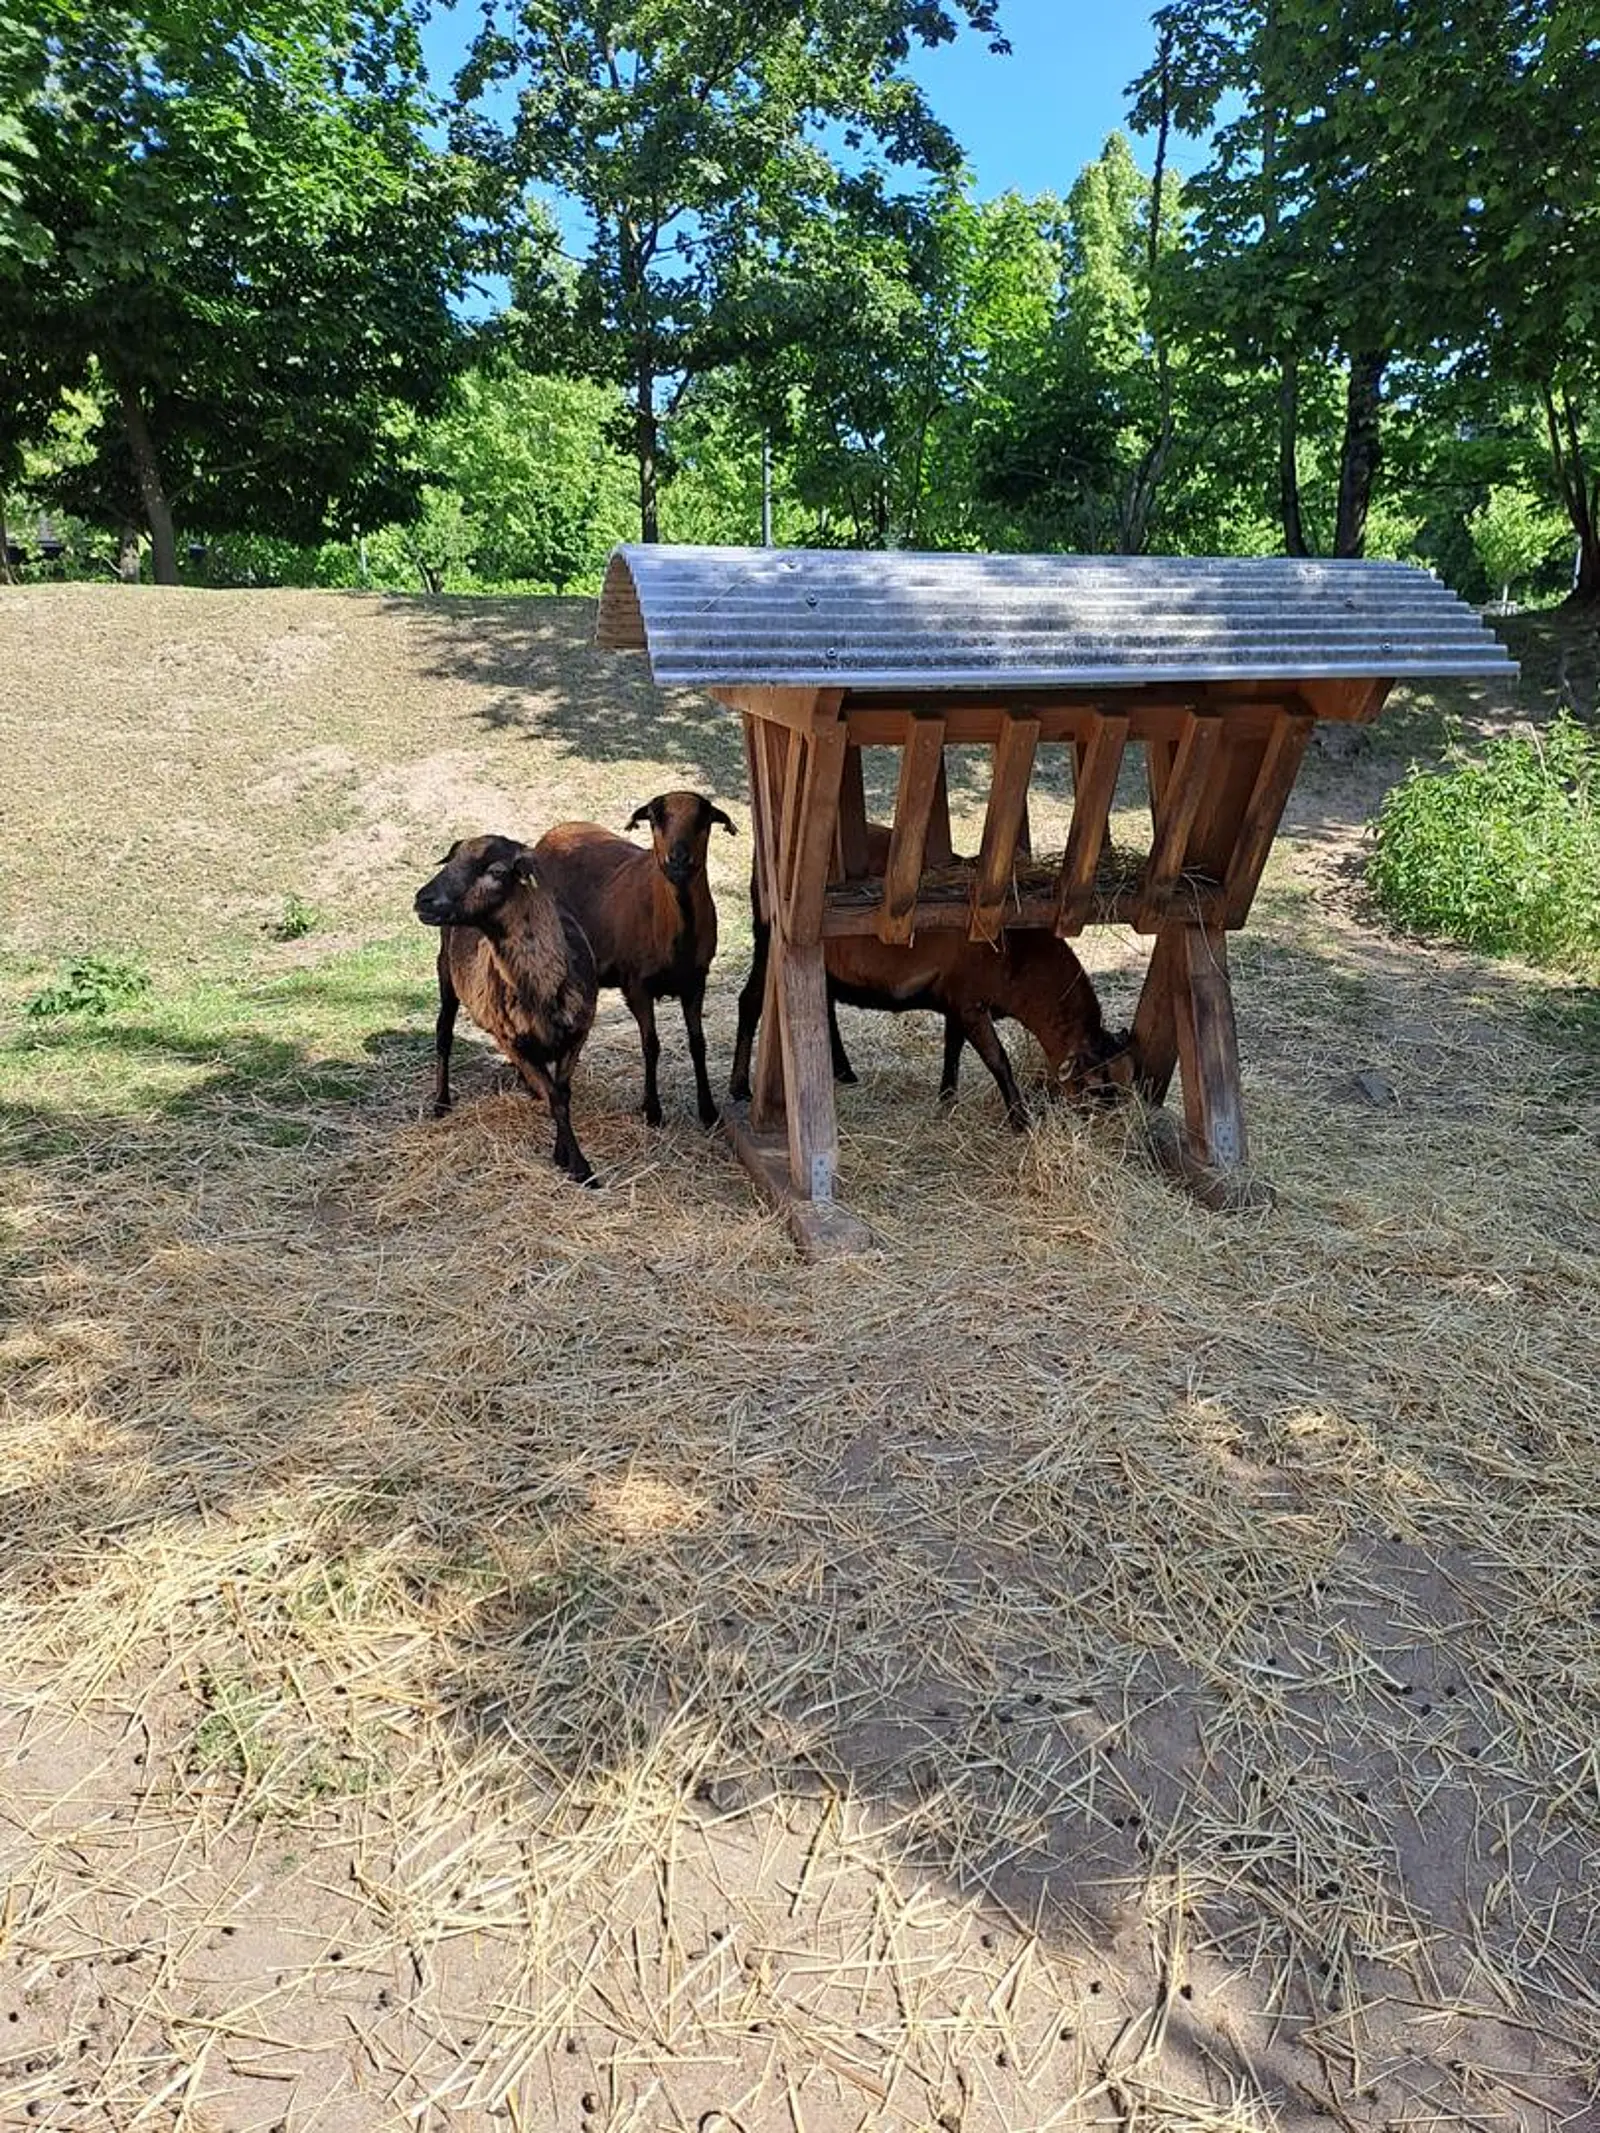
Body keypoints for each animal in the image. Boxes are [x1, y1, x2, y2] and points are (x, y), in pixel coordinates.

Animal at [414, 834, 599, 1185]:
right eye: (451, 860)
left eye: (497, 871)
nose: (422, 900)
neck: (543, 989)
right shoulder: (514, 1041)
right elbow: (556, 1100)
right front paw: (579, 1167)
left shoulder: (577, 1035)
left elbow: (562, 1093)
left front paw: (567, 1156)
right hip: (445, 973)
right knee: (443, 1035)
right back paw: (441, 1102)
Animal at [532, 791, 736, 1129]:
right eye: (654, 817)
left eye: (705, 818)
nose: (678, 860)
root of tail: (554, 832)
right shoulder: (636, 985)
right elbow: (651, 1045)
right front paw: (652, 1110)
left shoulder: (696, 981)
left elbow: (698, 1043)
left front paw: (708, 1111)